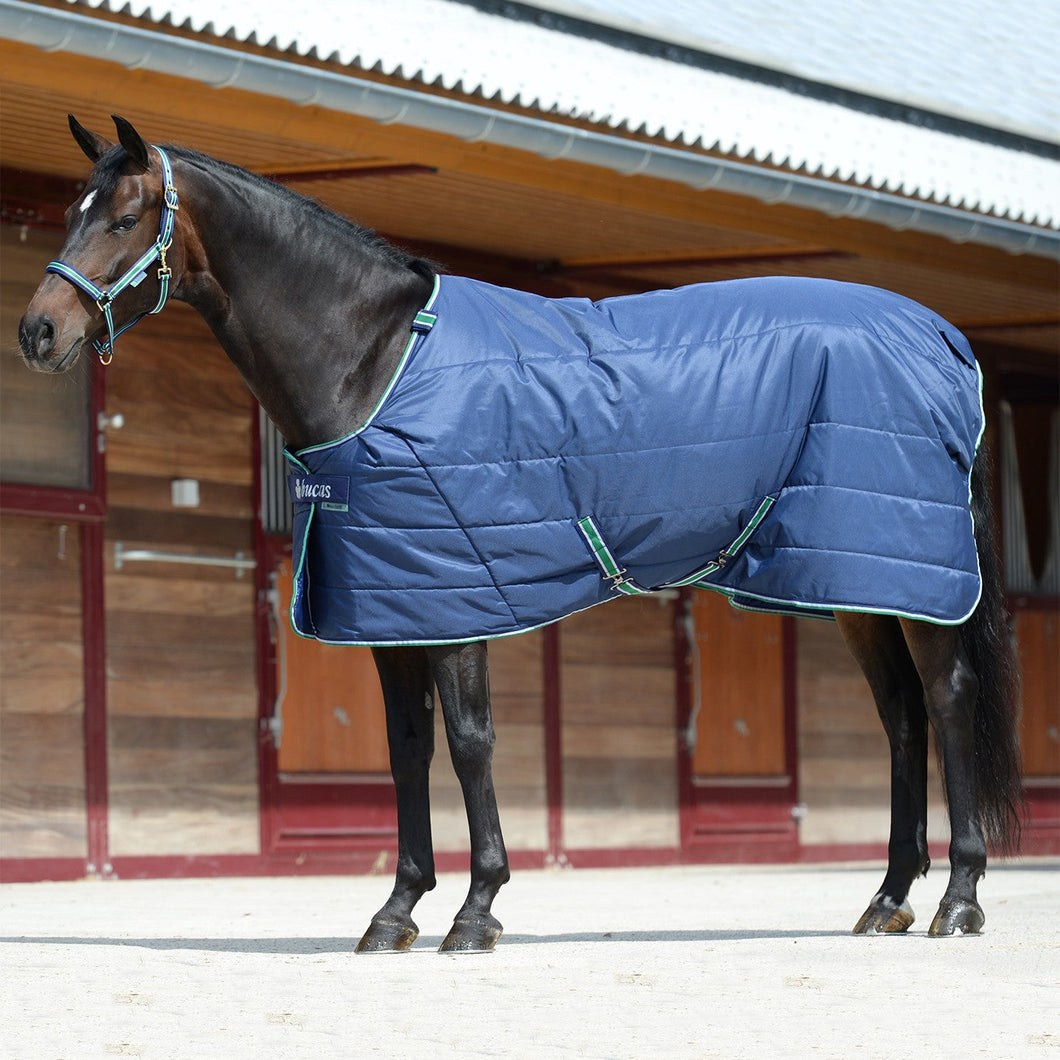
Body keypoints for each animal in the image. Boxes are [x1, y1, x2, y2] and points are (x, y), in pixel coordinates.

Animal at [18, 115, 1022, 951]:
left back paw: (958, 900)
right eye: (70, 213)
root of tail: (942, 336)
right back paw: (887, 899)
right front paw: (396, 910)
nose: (37, 332)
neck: (378, 360)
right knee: (900, 720)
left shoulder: (458, 593)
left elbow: (470, 742)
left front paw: (476, 909)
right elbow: (406, 750)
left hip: (909, 581)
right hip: (856, 581)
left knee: (947, 701)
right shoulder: (392, 607)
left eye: (126, 216)